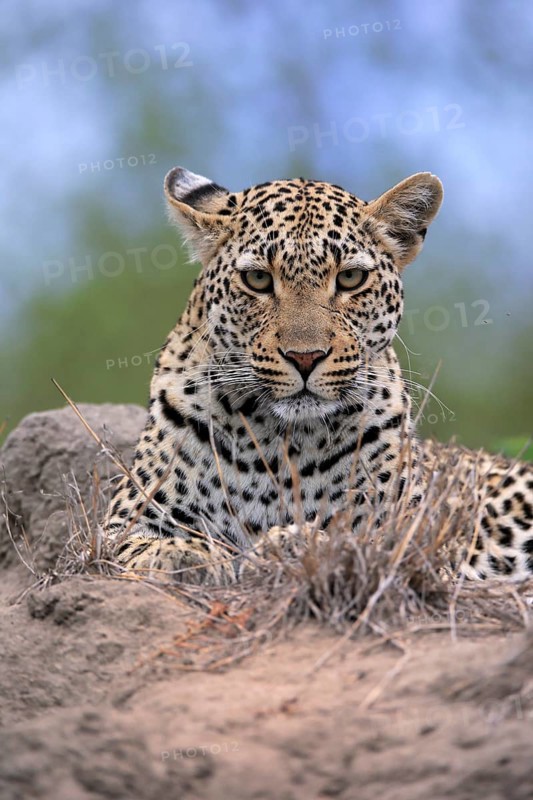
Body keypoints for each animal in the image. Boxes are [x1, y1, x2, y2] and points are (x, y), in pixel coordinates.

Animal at [105, 166, 533, 584]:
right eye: (258, 280)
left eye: (350, 279)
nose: (305, 357)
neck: (278, 445)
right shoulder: (130, 514)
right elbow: (142, 542)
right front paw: (178, 554)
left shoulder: (415, 537)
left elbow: (363, 542)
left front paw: (294, 543)